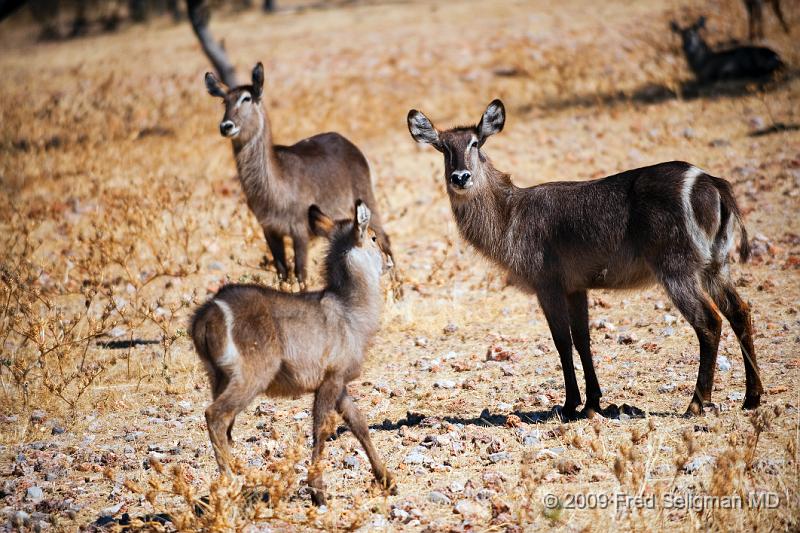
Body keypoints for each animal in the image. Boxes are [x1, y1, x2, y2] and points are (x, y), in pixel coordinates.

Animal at [191, 200, 396, 502]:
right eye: (372, 238)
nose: (389, 260)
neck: (350, 309)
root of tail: (209, 312)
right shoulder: (331, 379)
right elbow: (321, 428)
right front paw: (317, 490)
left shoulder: (338, 382)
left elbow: (359, 423)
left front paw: (386, 479)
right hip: (251, 377)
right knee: (215, 416)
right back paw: (233, 484)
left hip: (217, 378)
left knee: (224, 427)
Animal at [205, 62, 392, 286]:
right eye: (225, 101)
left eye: (246, 98)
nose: (226, 126)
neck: (274, 187)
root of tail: (345, 140)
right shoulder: (269, 230)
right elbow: (282, 272)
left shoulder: (300, 232)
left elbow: (301, 274)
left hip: (366, 199)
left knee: (384, 237)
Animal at [410, 98, 764, 416]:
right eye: (443, 147)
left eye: (475, 142)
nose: (460, 177)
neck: (510, 214)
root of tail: (712, 183)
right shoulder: (576, 287)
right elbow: (583, 339)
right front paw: (593, 403)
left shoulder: (548, 285)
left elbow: (562, 342)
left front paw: (570, 405)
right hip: (715, 265)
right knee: (740, 312)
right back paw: (752, 397)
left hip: (677, 268)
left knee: (710, 321)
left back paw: (696, 404)